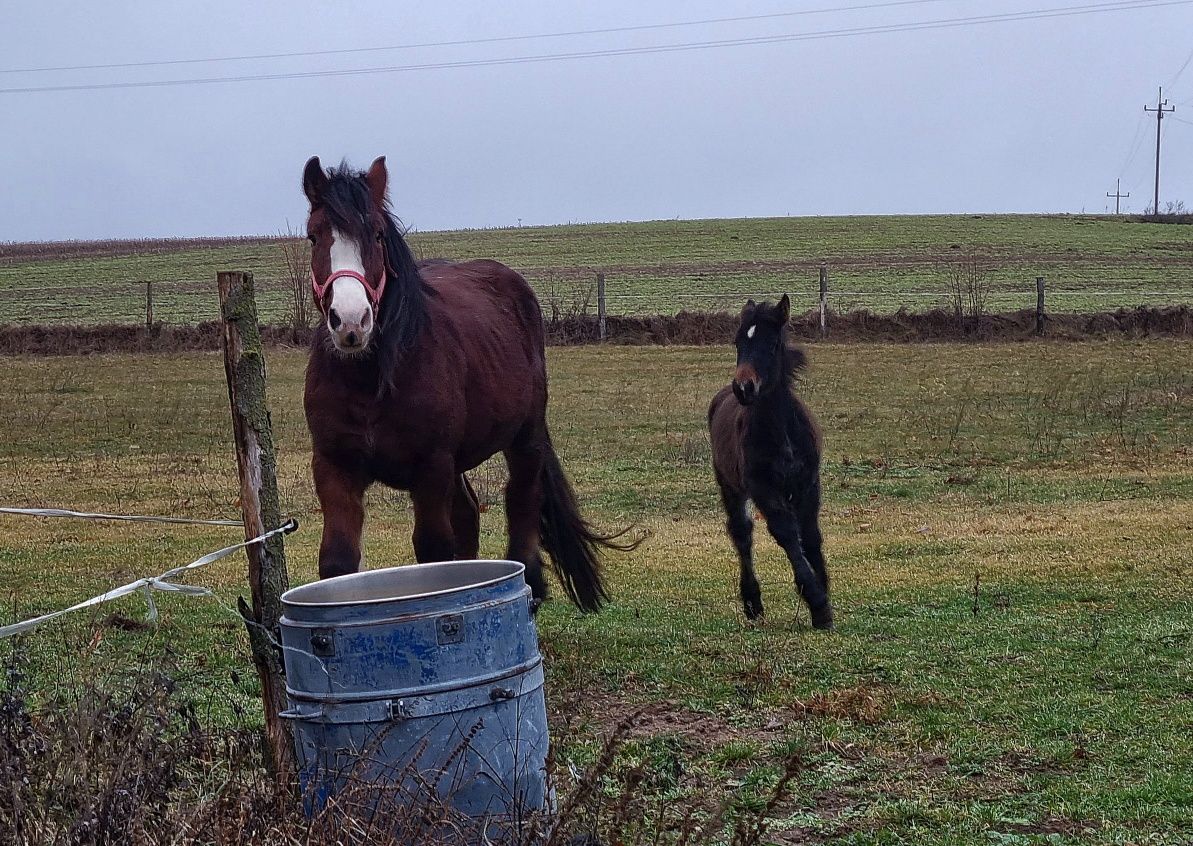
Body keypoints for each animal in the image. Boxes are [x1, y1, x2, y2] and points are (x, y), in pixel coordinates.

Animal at [300, 156, 634, 606]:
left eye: (378, 234)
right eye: (314, 236)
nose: (350, 321)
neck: (371, 381)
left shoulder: (431, 467)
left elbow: (435, 554)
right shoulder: (335, 467)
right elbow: (337, 561)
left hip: (525, 437)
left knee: (522, 498)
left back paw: (531, 581)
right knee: (469, 513)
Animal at [706, 295, 830, 625]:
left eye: (772, 343)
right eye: (738, 342)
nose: (743, 387)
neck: (782, 431)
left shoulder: (808, 484)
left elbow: (810, 535)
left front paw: (824, 594)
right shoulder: (763, 488)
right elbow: (787, 534)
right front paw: (817, 601)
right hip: (730, 486)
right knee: (742, 533)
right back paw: (752, 602)